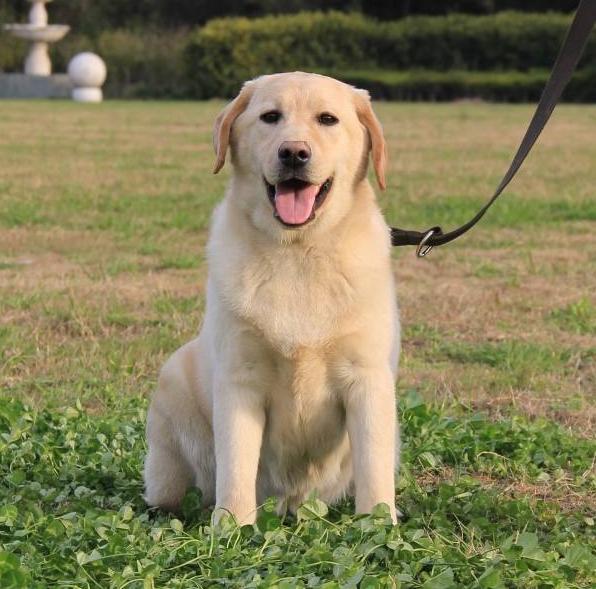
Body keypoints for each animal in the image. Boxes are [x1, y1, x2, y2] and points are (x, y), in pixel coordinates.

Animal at [142, 70, 398, 524]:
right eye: (270, 117)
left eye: (327, 119)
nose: (293, 153)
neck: (298, 252)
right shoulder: (240, 378)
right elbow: (236, 468)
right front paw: (231, 527)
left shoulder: (367, 379)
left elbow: (375, 470)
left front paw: (380, 526)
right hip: (172, 389)